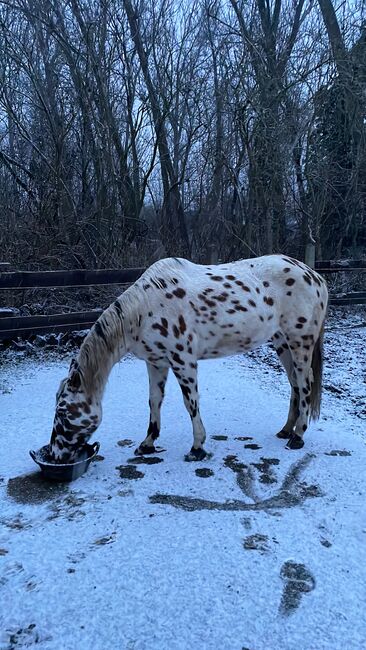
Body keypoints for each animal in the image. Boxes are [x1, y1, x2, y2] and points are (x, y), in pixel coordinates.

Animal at [49, 253, 328, 460]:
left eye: (63, 411)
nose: (54, 454)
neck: (144, 309)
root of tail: (315, 276)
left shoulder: (183, 361)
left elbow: (191, 403)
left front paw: (197, 448)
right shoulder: (156, 362)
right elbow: (154, 401)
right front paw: (147, 443)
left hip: (300, 343)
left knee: (305, 383)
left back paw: (298, 436)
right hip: (282, 343)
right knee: (294, 384)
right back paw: (286, 430)